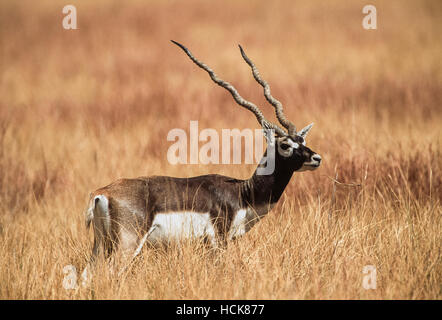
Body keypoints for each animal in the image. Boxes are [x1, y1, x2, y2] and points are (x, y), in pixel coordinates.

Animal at [81, 40, 320, 276]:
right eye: (285, 145)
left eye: (302, 140)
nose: (316, 158)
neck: (244, 193)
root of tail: (103, 193)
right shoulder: (217, 241)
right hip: (127, 245)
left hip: (101, 246)